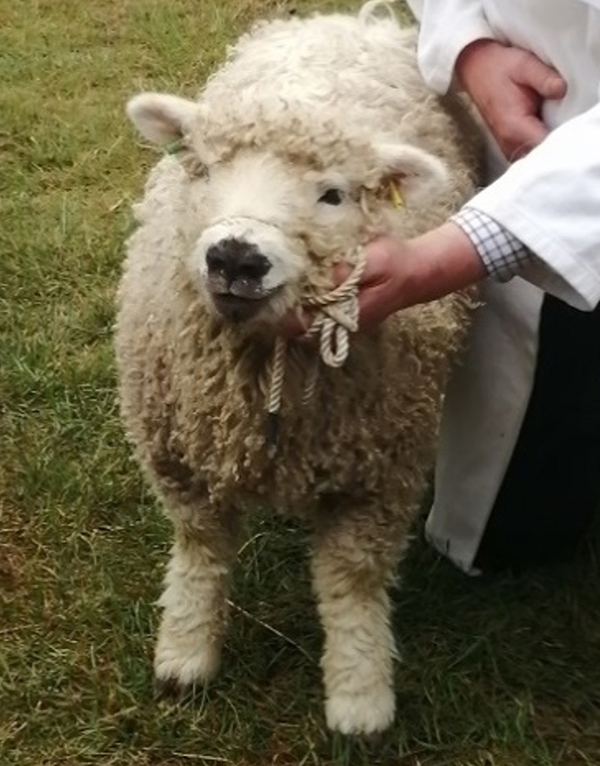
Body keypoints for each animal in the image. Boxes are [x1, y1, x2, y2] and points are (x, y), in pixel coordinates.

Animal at [116, 1, 483, 736]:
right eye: (202, 170)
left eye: (334, 195)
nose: (235, 256)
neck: (262, 363)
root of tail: (353, 21)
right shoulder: (175, 456)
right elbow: (200, 549)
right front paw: (186, 651)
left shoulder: (380, 476)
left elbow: (352, 581)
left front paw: (359, 693)